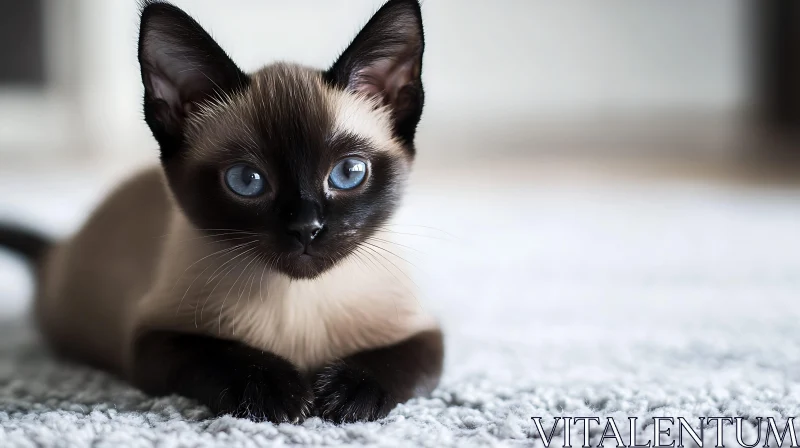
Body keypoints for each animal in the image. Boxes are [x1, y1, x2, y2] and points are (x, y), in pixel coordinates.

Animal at [0, 0, 444, 424]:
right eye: (247, 180)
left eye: (349, 173)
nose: (307, 227)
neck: (299, 306)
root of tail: (60, 248)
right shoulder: (151, 338)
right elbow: (221, 353)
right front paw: (277, 393)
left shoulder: (424, 331)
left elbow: (395, 358)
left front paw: (346, 395)